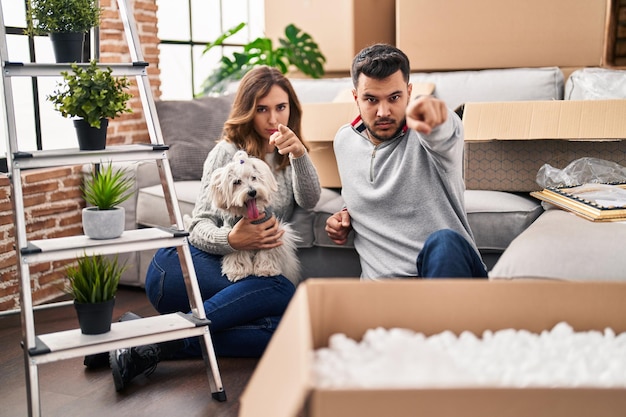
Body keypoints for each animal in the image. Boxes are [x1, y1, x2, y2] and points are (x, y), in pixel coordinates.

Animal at [207, 150, 300, 282]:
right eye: (237, 182)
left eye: (254, 177)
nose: (252, 192)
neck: (251, 217)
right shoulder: (235, 237)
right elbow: (237, 254)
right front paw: (237, 271)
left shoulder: (271, 234)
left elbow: (267, 253)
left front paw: (266, 269)